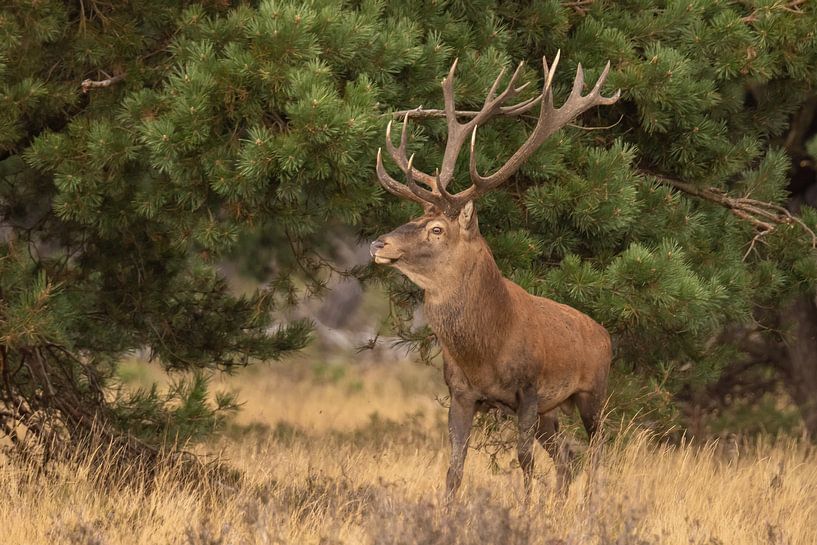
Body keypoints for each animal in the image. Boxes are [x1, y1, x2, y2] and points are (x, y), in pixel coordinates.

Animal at [369, 52, 619, 499]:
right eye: (413, 217)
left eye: (437, 230)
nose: (378, 244)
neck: (485, 349)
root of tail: (604, 334)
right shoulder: (460, 394)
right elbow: (454, 469)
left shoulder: (530, 389)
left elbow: (523, 460)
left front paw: (526, 506)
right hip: (554, 412)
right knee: (567, 457)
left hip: (594, 391)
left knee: (596, 453)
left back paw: (591, 502)